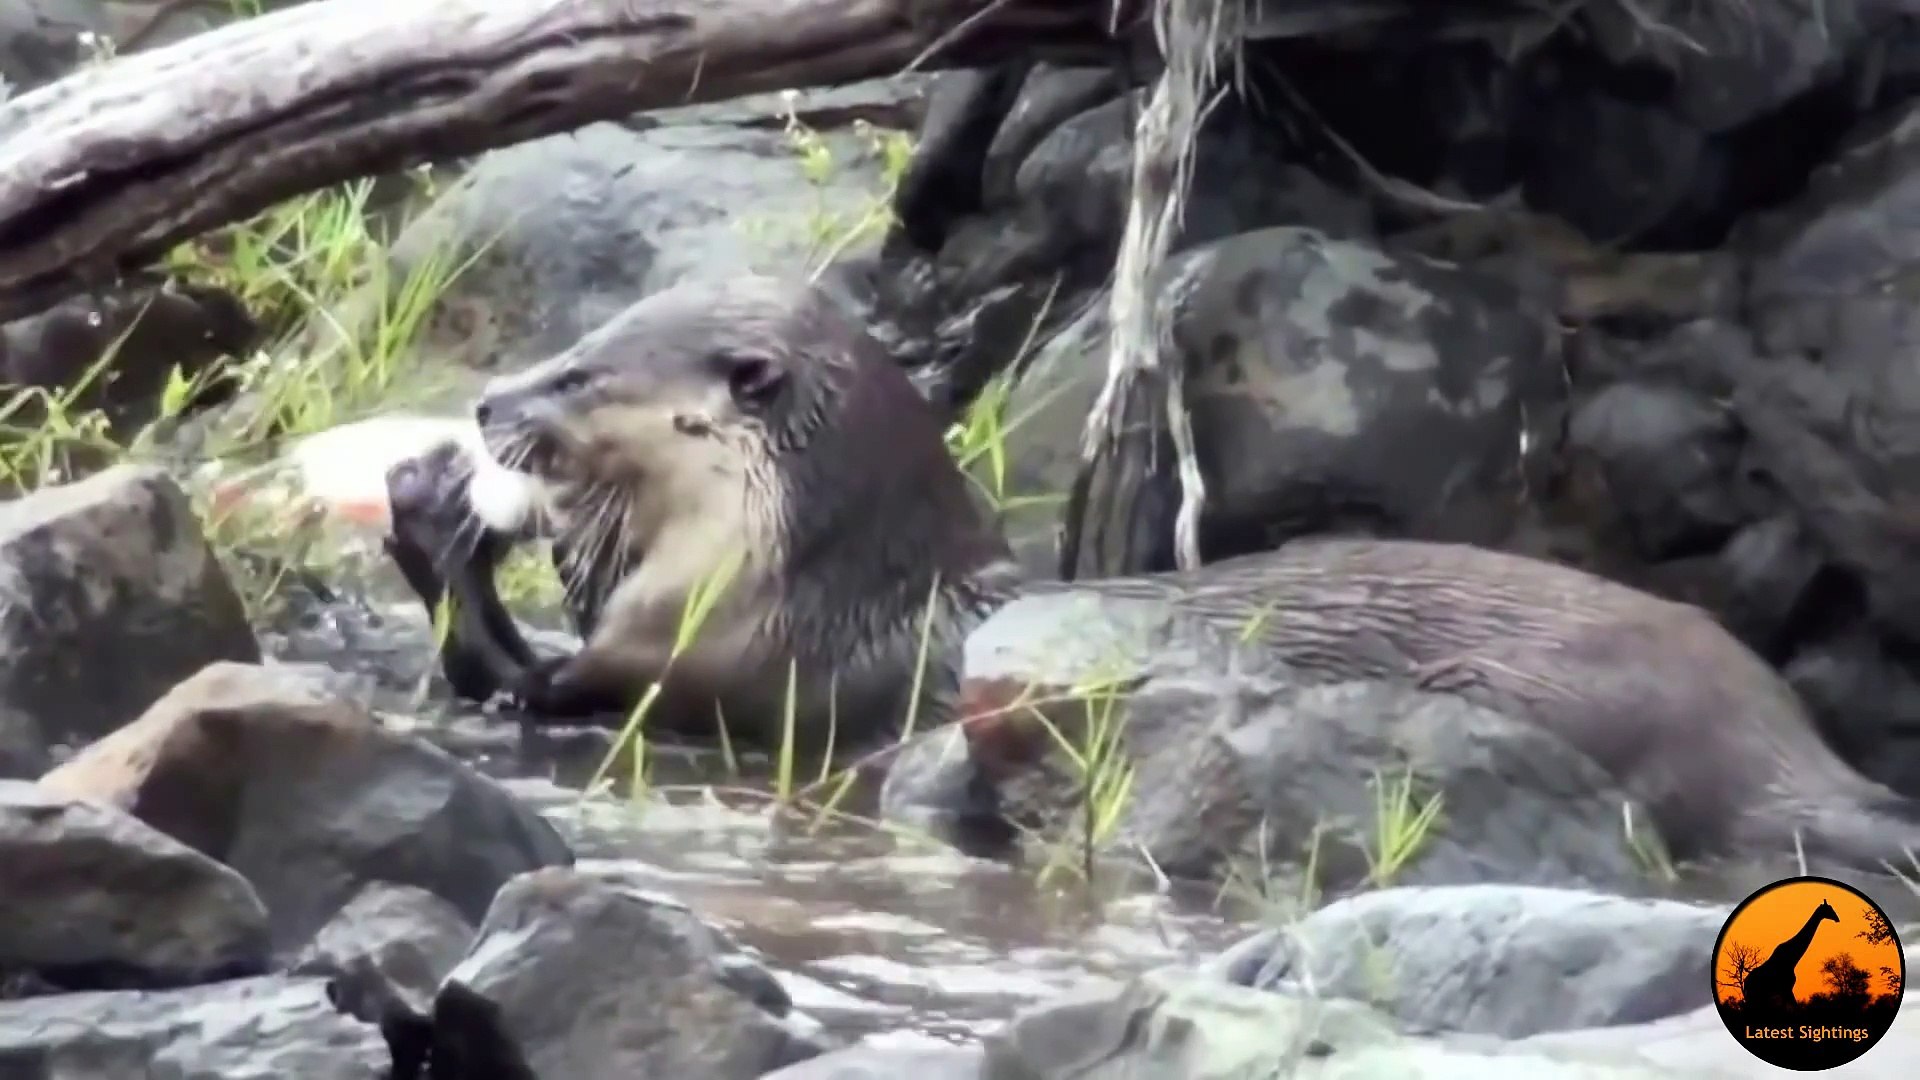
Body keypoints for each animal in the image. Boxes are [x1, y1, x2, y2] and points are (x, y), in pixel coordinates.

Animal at [385, 273, 1920, 870]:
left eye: (584, 373)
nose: (487, 401)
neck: (809, 578)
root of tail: (1786, 743)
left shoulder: (718, 660)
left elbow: (552, 685)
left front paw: (443, 533)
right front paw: (422, 513)